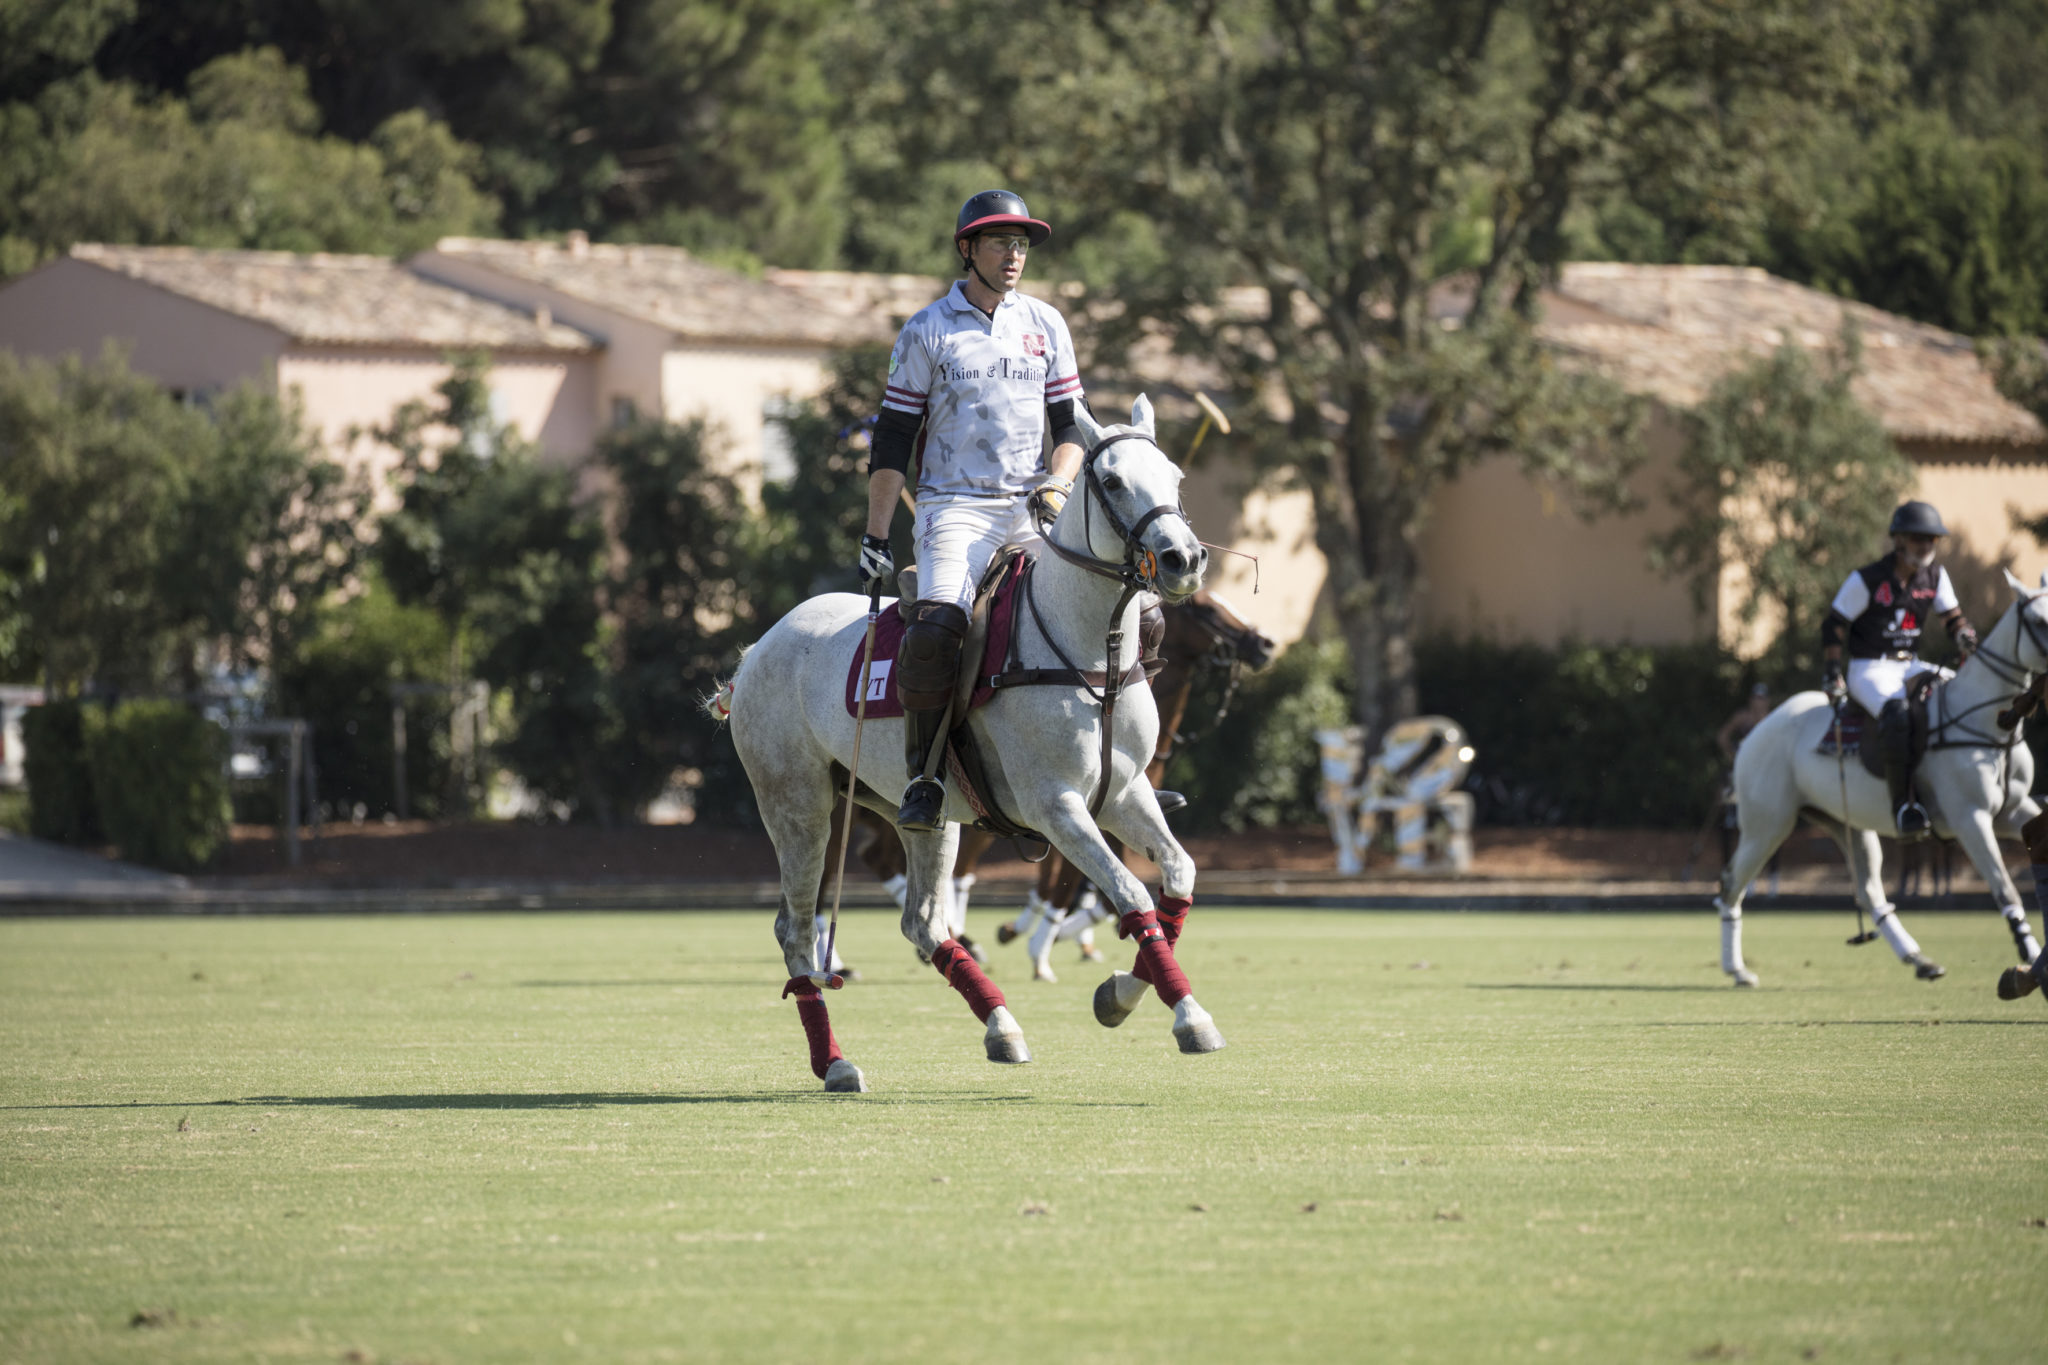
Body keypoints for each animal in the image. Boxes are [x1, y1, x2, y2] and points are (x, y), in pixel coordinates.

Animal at [713, 395, 1225, 1092]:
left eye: (1174, 476)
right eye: (1114, 480)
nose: (1183, 560)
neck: (1092, 652)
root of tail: (758, 649)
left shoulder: (1123, 792)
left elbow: (1176, 874)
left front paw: (1117, 994)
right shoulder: (1055, 803)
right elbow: (1132, 893)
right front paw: (1188, 1018)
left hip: (918, 811)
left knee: (922, 921)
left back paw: (1001, 1028)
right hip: (797, 804)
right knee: (795, 926)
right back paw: (836, 1062)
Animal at [1715, 569, 2048, 987]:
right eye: (2038, 620)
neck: (1991, 722)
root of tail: (1756, 731)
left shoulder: (2013, 810)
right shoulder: (1970, 817)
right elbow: (2006, 890)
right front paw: (2029, 957)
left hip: (1847, 823)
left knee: (1869, 890)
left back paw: (1920, 959)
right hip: (1767, 824)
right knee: (1730, 883)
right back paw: (1737, 969)